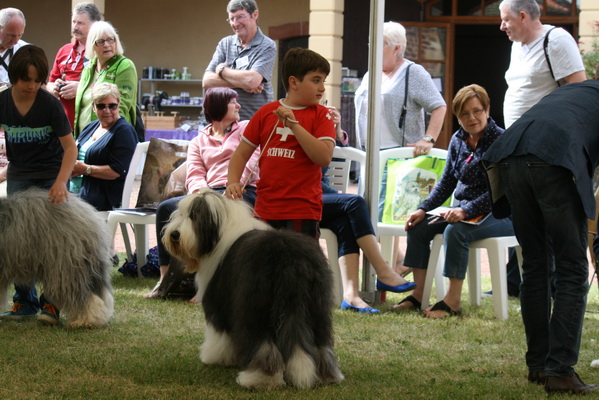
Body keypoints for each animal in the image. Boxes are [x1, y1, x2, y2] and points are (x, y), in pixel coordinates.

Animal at [163, 189, 344, 389]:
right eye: (181, 213)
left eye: (194, 215)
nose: (175, 234)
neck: (219, 233)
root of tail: (290, 258)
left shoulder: (218, 302)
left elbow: (219, 333)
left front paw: (214, 357)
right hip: (316, 306)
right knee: (320, 344)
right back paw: (325, 376)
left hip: (256, 306)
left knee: (263, 344)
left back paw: (261, 379)